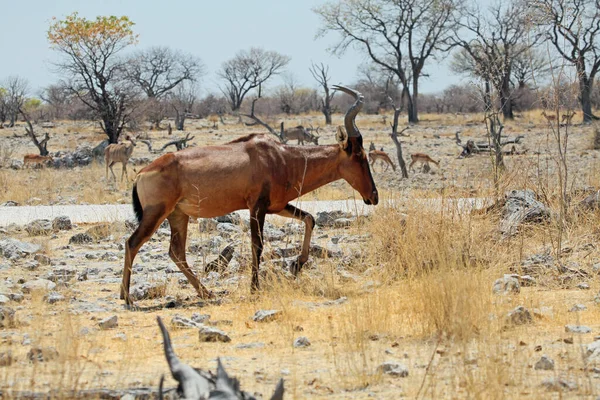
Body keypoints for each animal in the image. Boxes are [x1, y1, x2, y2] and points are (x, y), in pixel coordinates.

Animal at [119, 85, 378, 306]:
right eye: (360, 155)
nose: (373, 196)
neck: (280, 156)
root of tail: (141, 173)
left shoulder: (278, 206)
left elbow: (309, 219)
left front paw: (296, 265)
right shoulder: (257, 207)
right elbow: (258, 245)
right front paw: (255, 287)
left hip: (178, 215)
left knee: (176, 252)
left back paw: (207, 293)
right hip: (156, 213)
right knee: (132, 242)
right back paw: (127, 298)